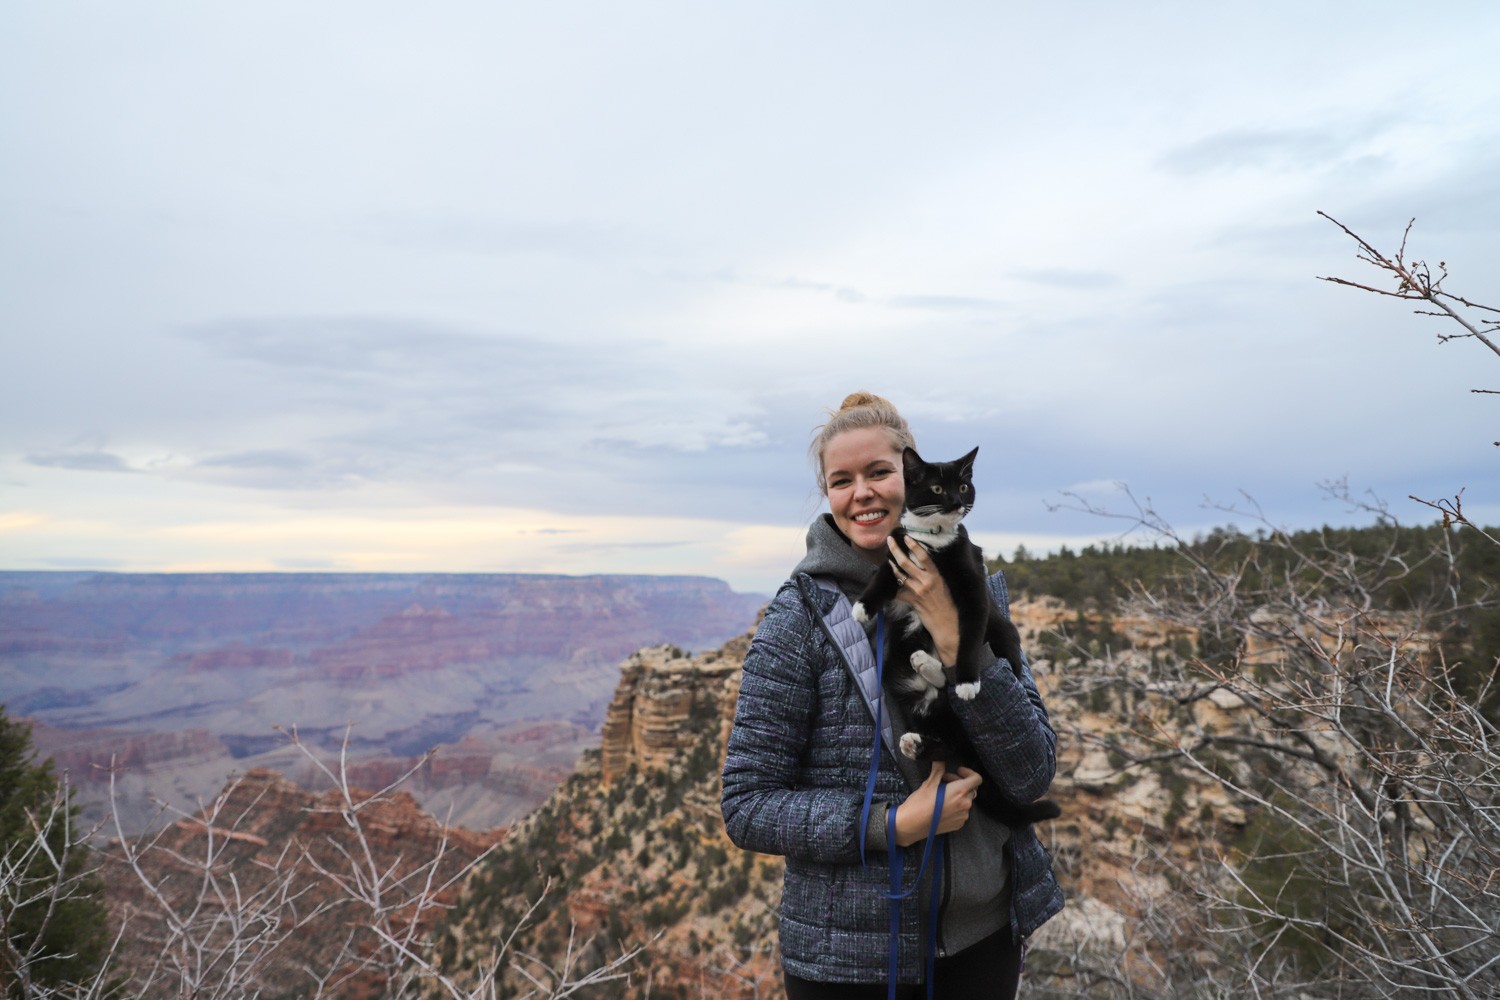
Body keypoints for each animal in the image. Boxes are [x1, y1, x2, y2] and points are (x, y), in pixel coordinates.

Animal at [852, 446, 1062, 827]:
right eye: (936, 488)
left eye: (963, 486)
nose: (955, 501)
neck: (933, 539)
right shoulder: (898, 553)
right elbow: (882, 577)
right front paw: (862, 607)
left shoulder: (972, 588)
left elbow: (969, 635)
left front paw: (966, 681)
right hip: (905, 679)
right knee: (948, 741)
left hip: (1004, 636)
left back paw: (938, 677)